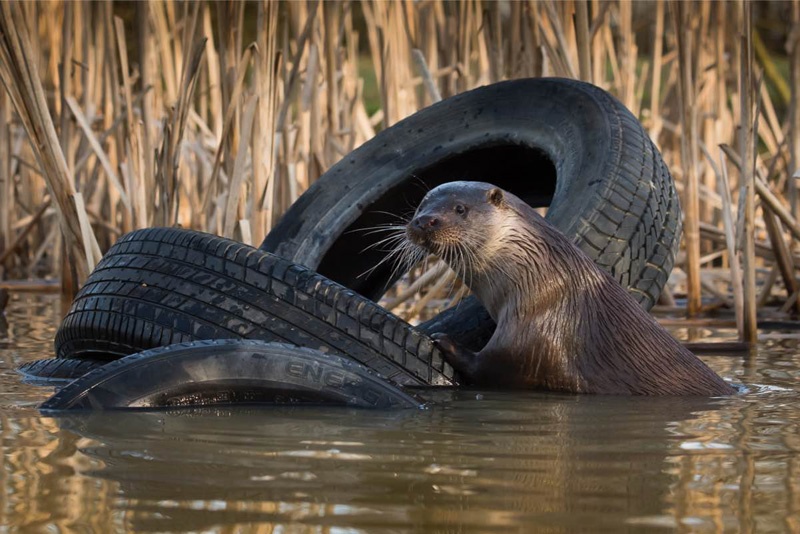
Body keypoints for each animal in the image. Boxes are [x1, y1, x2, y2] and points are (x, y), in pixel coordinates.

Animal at [406, 182, 736, 396]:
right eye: (420, 206)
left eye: (460, 208)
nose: (424, 221)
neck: (542, 279)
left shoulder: (539, 335)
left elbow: (495, 366)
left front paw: (444, 340)